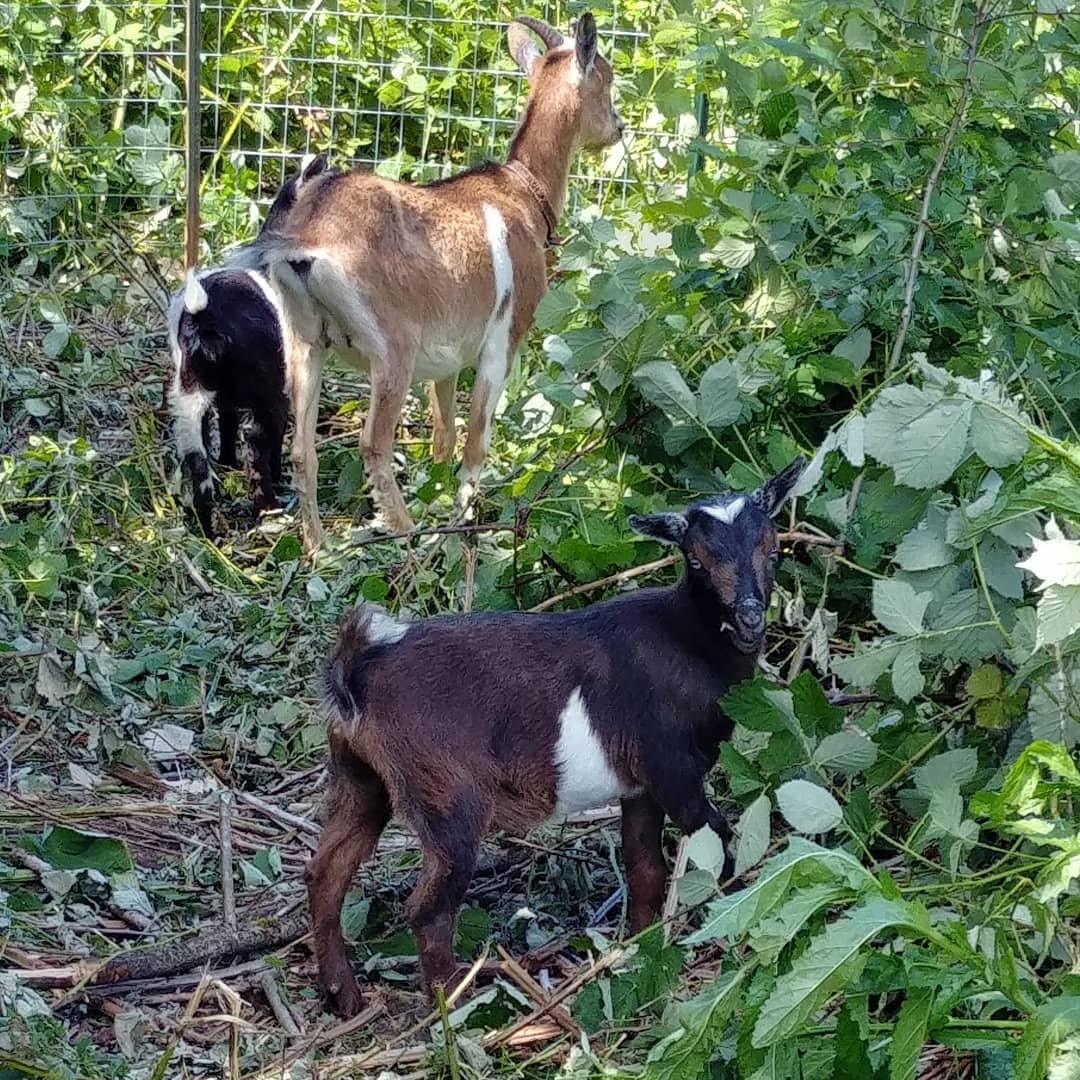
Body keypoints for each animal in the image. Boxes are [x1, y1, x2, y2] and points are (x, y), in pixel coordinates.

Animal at [167, 153, 333, 536]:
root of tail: (205, 315)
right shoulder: (287, 389)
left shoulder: (224, 400)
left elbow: (226, 427)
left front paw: (226, 462)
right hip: (267, 393)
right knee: (256, 447)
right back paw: (269, 508)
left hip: (188, 397)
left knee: (197, 464)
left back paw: (205, 531)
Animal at [241, 12, 624, 552]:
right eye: (606, 80)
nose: (618, 128)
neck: (519, 192)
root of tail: (306, 237)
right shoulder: (502, 340)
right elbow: (475, 440)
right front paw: (464, 524)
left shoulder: (446, 359)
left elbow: (444, 435)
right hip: (391, 349)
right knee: (373, 443)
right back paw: (405, 533)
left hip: (303, 341)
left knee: (302, 449)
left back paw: (319, 549)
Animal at [304, 457, 806, 1017]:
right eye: (696, 561)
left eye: (774, 547)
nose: (749, 616)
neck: (687, 642)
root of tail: (359, 669)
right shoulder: (672, 767)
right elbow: (719, 841)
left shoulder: (639, 785)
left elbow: (645, 870)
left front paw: (637, 949)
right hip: (446, 792)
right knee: (428, 906)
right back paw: (456, 1008)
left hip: (361, 779)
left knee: (325, 874)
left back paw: (344, 996)